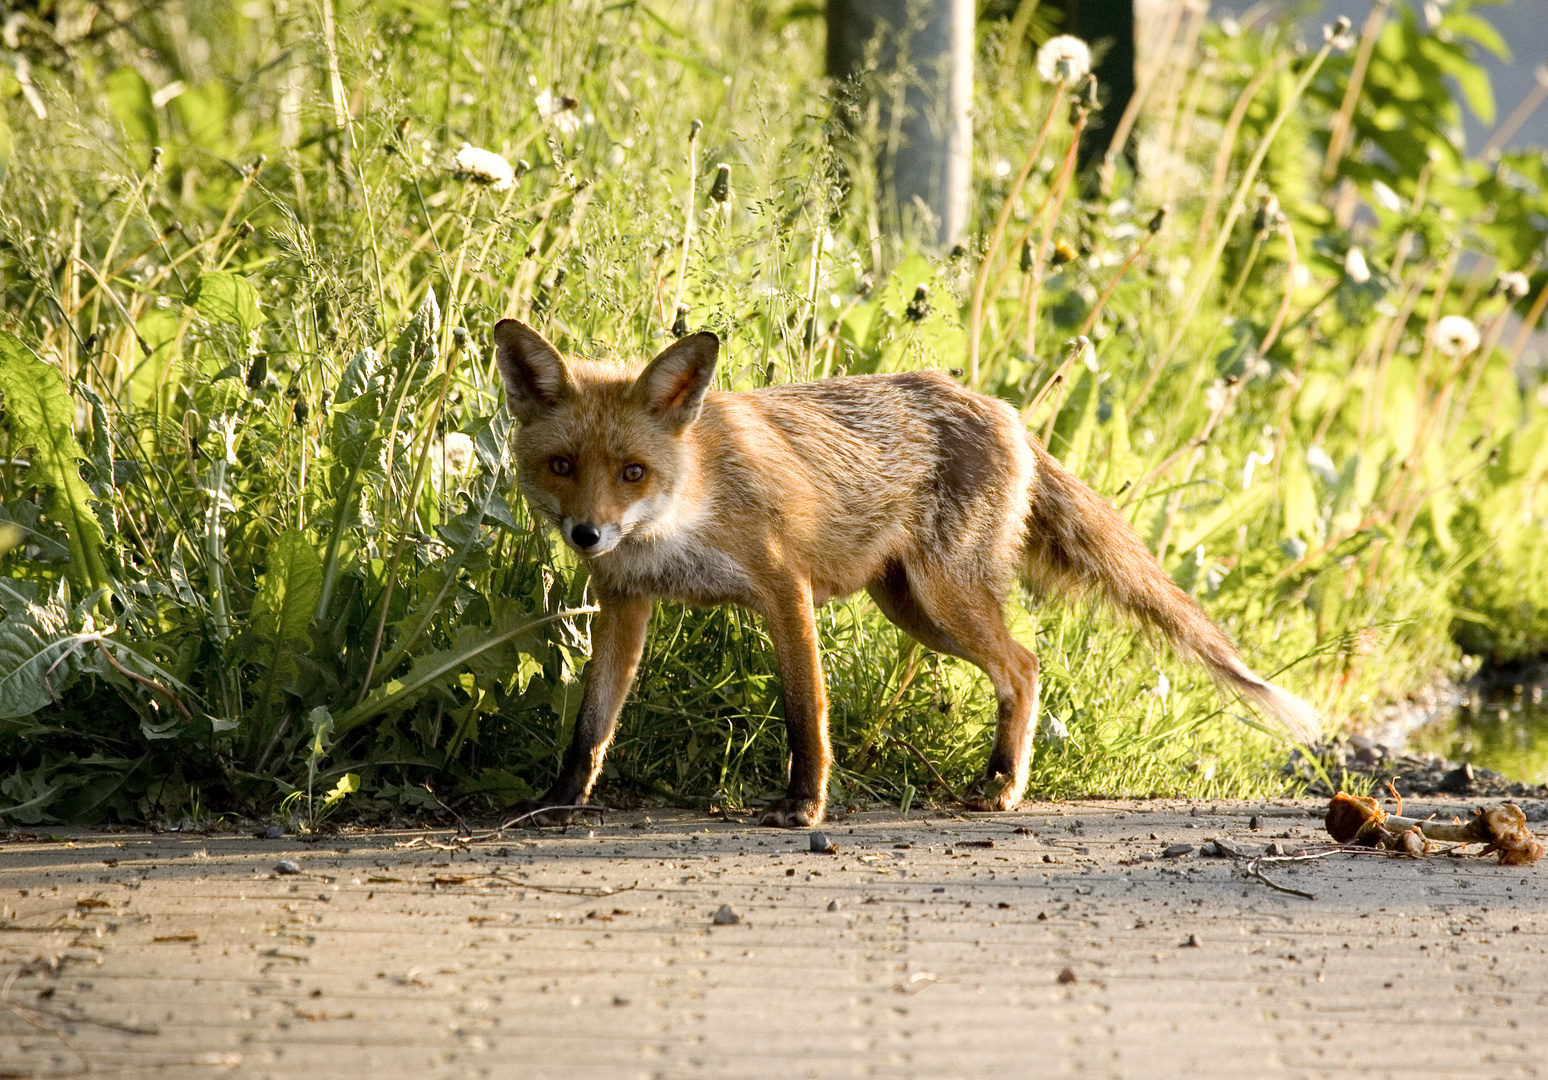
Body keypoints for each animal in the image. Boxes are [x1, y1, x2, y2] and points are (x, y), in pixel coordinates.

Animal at [492, 317, 1318, 823]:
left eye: (632, 472)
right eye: (562, 466)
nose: (587, 533)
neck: (680, 513)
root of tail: (1004, 409)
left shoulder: (784, 588)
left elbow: (806, 712)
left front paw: (804, 808)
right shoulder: (624, 602)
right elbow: (592, 725)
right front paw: (557, 803)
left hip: (945, 599)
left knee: (1024, 665)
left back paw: (1002, 786)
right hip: (912, 607)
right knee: (1023, 665)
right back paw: (999, 777)